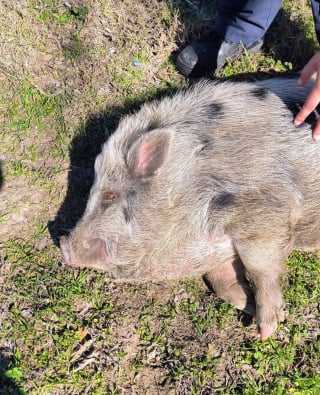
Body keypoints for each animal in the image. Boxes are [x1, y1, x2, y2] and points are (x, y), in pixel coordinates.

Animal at [60, 77, 320, 340]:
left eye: (110, 195)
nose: (63, 245)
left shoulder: (265, 209)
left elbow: (259, 265)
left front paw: (265, 331)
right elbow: (220, 280)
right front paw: (246, 305)